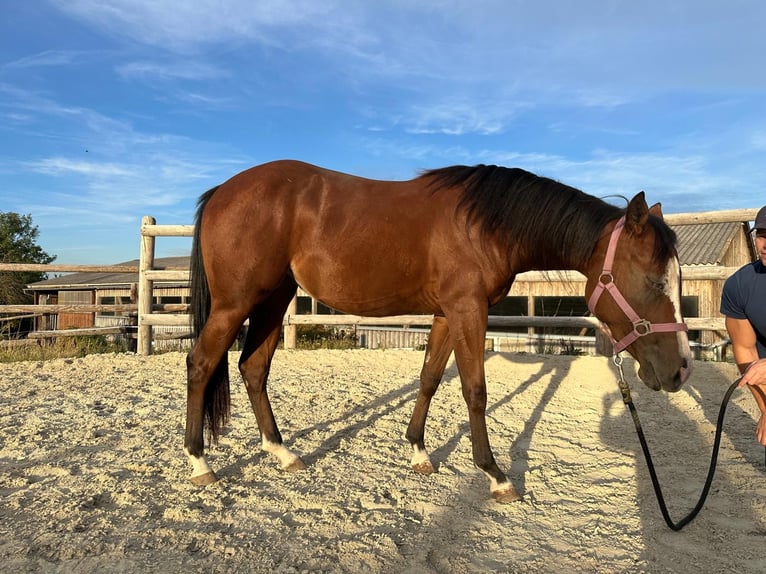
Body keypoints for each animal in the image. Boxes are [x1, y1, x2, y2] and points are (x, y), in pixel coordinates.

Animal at [184, 160, 693, 503]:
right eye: (654, 281)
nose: (681, 371)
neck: (485, 226)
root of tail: (222, 190)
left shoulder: (448, 313)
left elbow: (430, 378)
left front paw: (418, 453)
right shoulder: (468, 310)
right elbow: (475, 390)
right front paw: (496, 475)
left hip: (273, 300)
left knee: (253, 368)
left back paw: (283, 453)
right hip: (237, 304)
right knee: (201, 363)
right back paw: (199, 462)